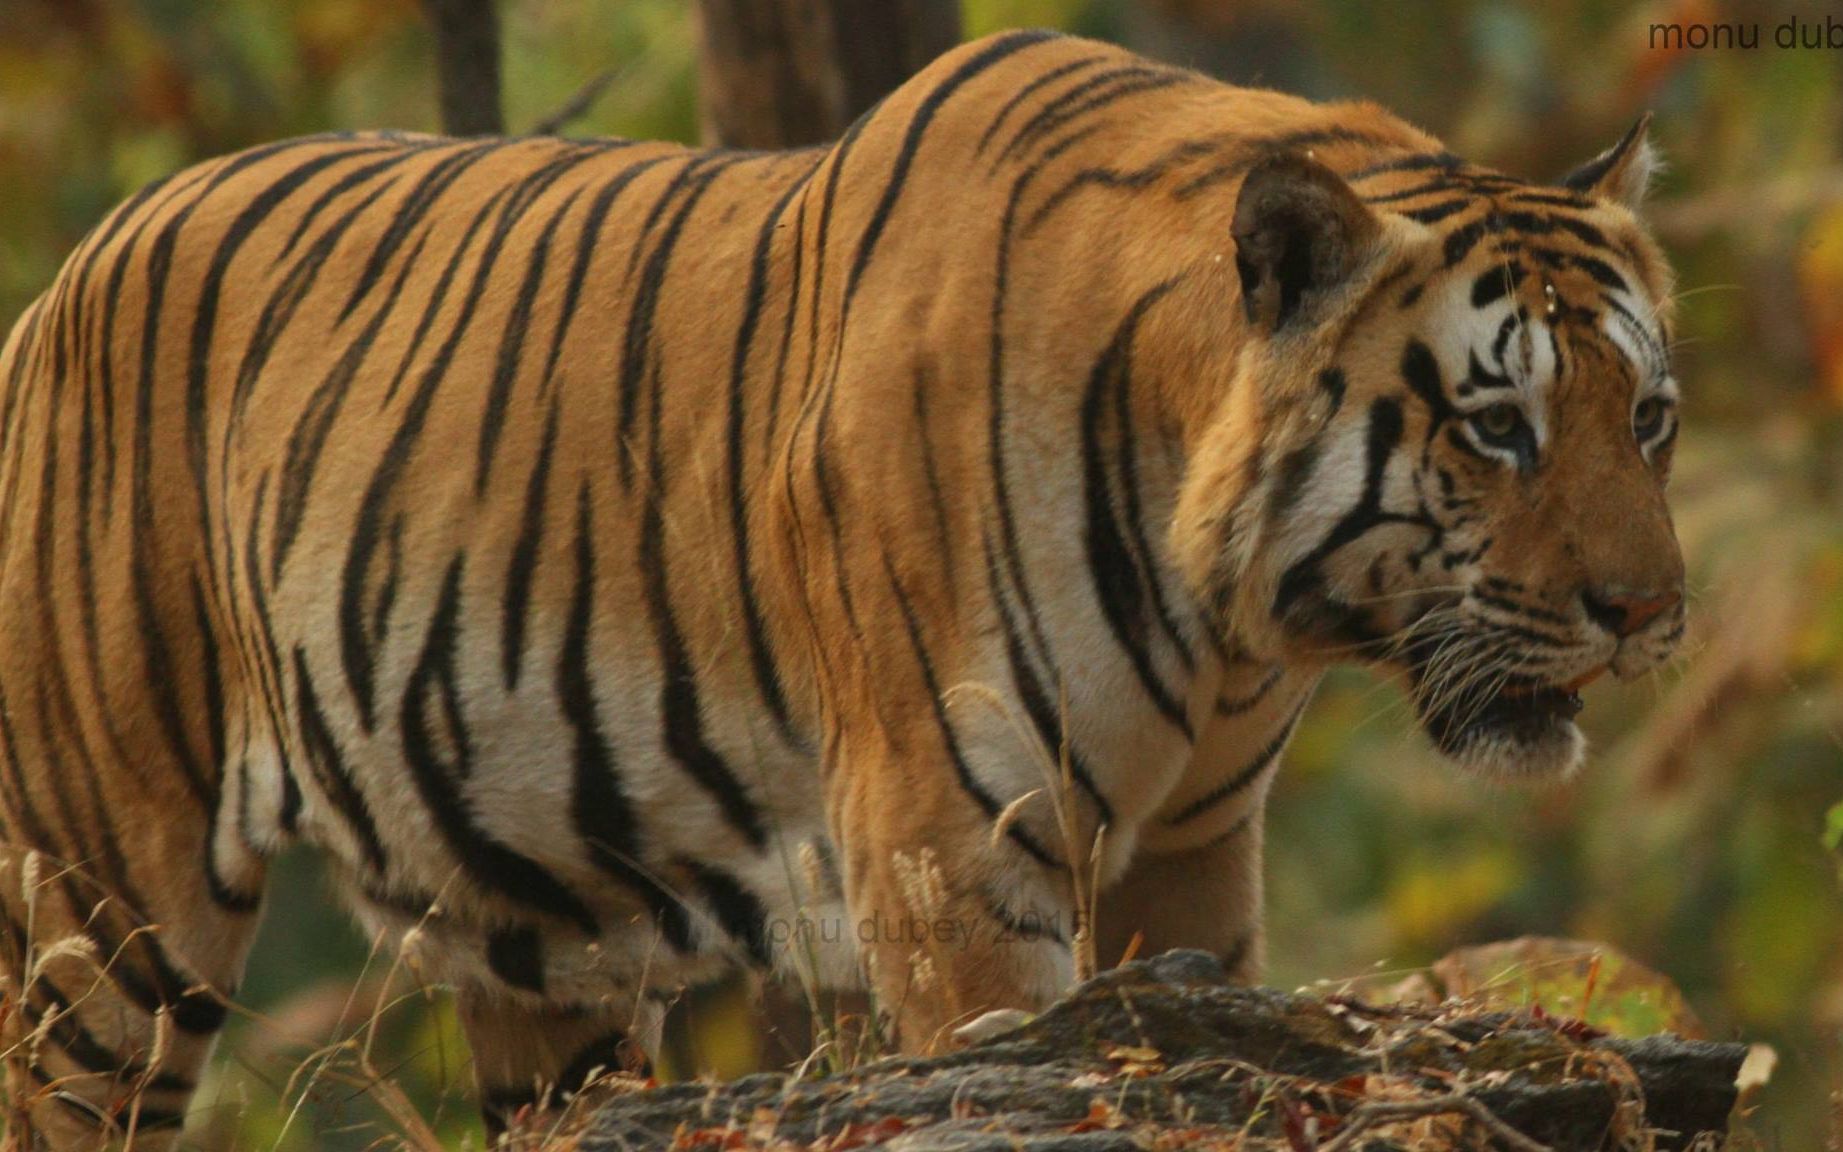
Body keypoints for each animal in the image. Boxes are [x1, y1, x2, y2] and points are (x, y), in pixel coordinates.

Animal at [0, 29, 1688, 1150]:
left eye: (1647, 418)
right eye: (1496, 426)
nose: (1645, 615)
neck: (1233, 627)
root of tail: (72, 265)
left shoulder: (1191, 858)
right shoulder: (950, 846)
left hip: (531, 945)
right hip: (103, 907)